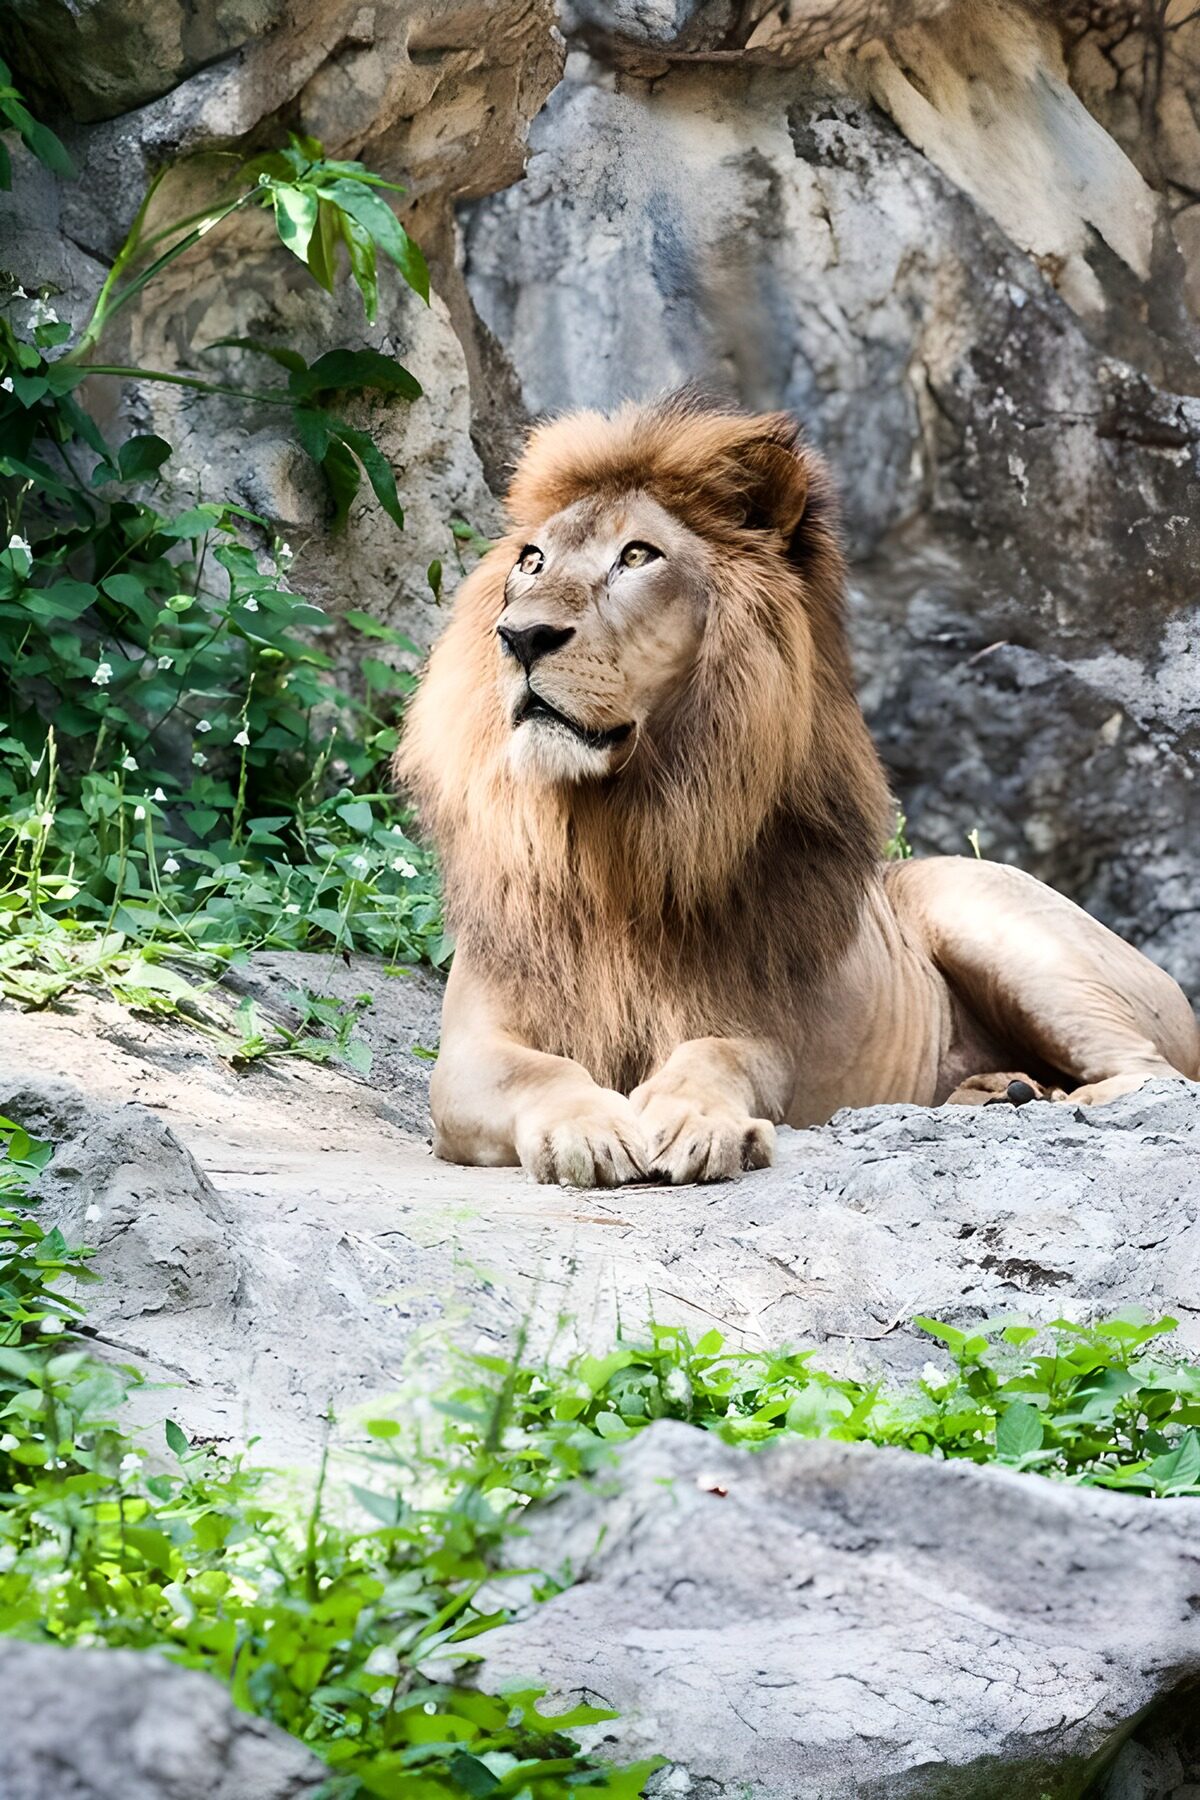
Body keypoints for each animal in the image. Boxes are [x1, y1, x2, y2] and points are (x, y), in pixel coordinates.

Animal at [397, 395, 1200, 1187]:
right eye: (531, 561)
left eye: (637, 556)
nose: (521, 637)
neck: (611, 836)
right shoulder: (466, 1054)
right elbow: (538, 1071)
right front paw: (588, 1130)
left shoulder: (762, 1031)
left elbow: (714, 1057)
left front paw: (696, 1124)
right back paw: (996, 1091)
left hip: (986, 915)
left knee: (1157, 1077)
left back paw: (1045, 1098)